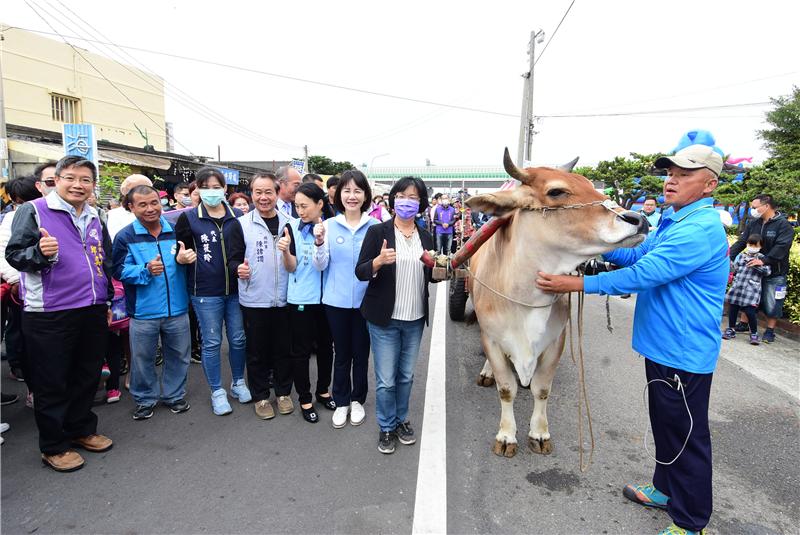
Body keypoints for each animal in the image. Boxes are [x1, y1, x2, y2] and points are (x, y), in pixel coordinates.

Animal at [466, 149, 648, 458]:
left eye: (591, 184)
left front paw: (539, 433)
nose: (639, 218)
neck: (526, 299)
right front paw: (506, 435)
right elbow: (506, 388)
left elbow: (541, 389)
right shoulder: (492, 337)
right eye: (556, 191)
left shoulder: (555, 342)